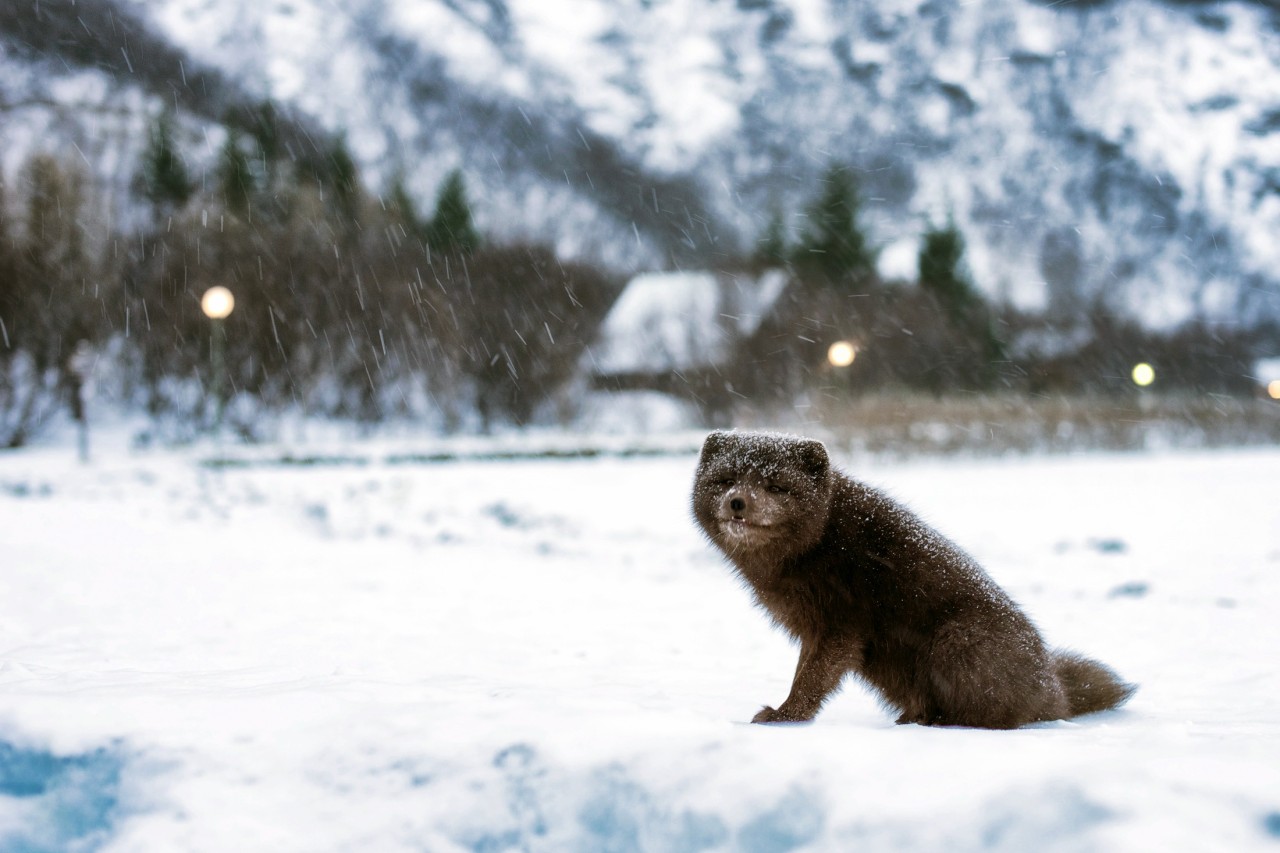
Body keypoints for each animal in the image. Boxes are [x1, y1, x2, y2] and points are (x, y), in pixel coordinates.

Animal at [691, 429, 1136, 728]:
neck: (820, 541)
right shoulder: (816, 627)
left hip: (957, 640)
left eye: (775, 486)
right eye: (725, 479)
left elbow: (812, 678)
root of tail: (1054, 688)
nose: (737, 502)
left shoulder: (839, 623)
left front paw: (784, 717)